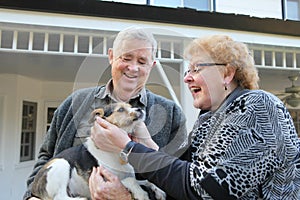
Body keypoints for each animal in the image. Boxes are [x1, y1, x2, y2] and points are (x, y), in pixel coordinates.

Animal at [30, 103, 166, 200]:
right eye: (121, 109)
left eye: (130, 106)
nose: (140, 109)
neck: (115, 152)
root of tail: (34, 190)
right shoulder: (106, 180)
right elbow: (130, 181)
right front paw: (141, 194)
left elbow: (146, 181)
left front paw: (159, 190)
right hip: (61, 163)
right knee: (60, 197)